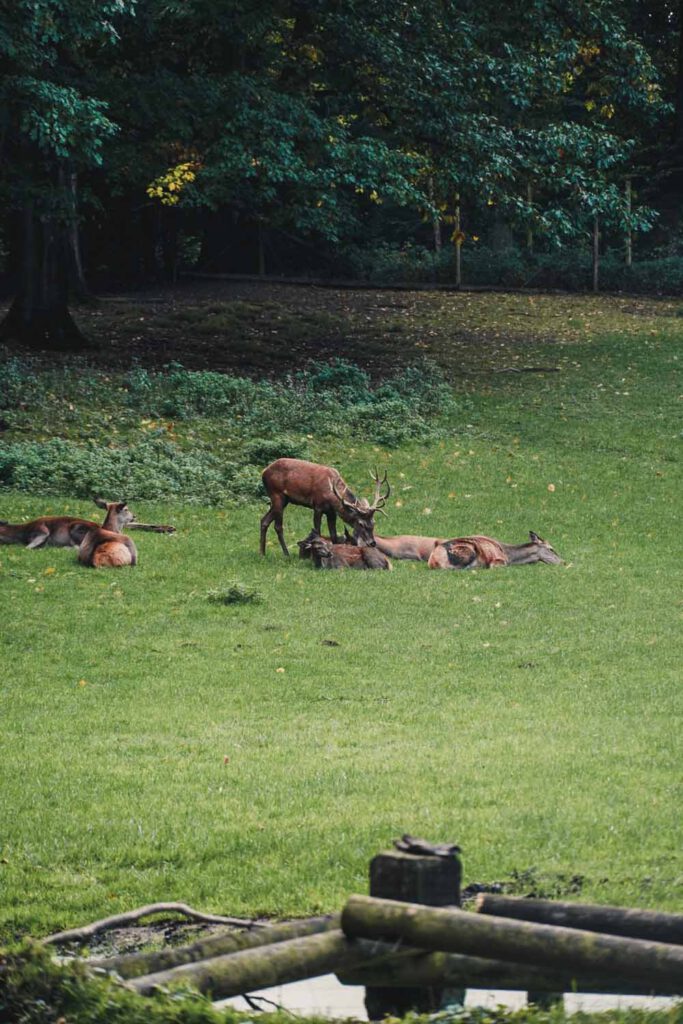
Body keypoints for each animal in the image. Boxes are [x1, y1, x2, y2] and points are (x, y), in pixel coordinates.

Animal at [260, 460, 389, 557]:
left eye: (373, 522)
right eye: (361, 523)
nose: (372, 543)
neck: (332, 496)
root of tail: (264, 472)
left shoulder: (332, 513)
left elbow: (334, 535)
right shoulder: (317, 506)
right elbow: (317, 531)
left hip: (284, 500)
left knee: (264, 520)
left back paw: (262, 553)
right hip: (277, 495)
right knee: (278, 526)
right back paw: (286, 554)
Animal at [428, 532, 565, 573]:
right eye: (551, 548)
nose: (563, 562)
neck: (509, 554)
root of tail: (433, 561)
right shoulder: (498, 560)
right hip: (468, 552)